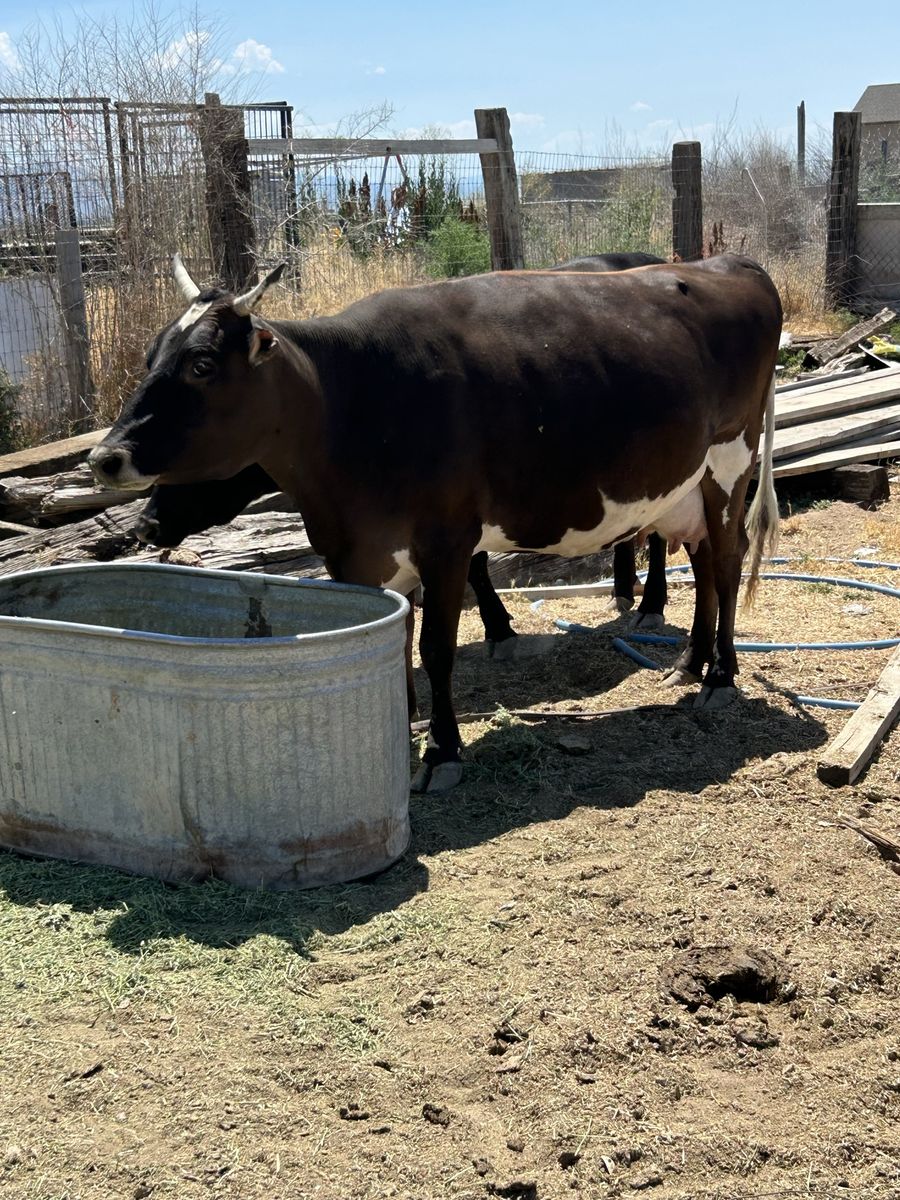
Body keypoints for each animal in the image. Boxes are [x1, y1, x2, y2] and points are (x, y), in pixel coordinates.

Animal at [90, 253, 782, 793]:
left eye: (203, 364)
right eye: (151, 356)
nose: (104, 457)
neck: (352, 403)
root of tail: (731, 264)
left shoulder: (446, 540)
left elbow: (435, 649)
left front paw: (442, 751)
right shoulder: (356, 554)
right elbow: (393, 644)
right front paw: (398, 730)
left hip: (729, 459)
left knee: (725, 559)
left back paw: (720, 675)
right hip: (685, 484)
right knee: (703, 562)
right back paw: (689, 661)